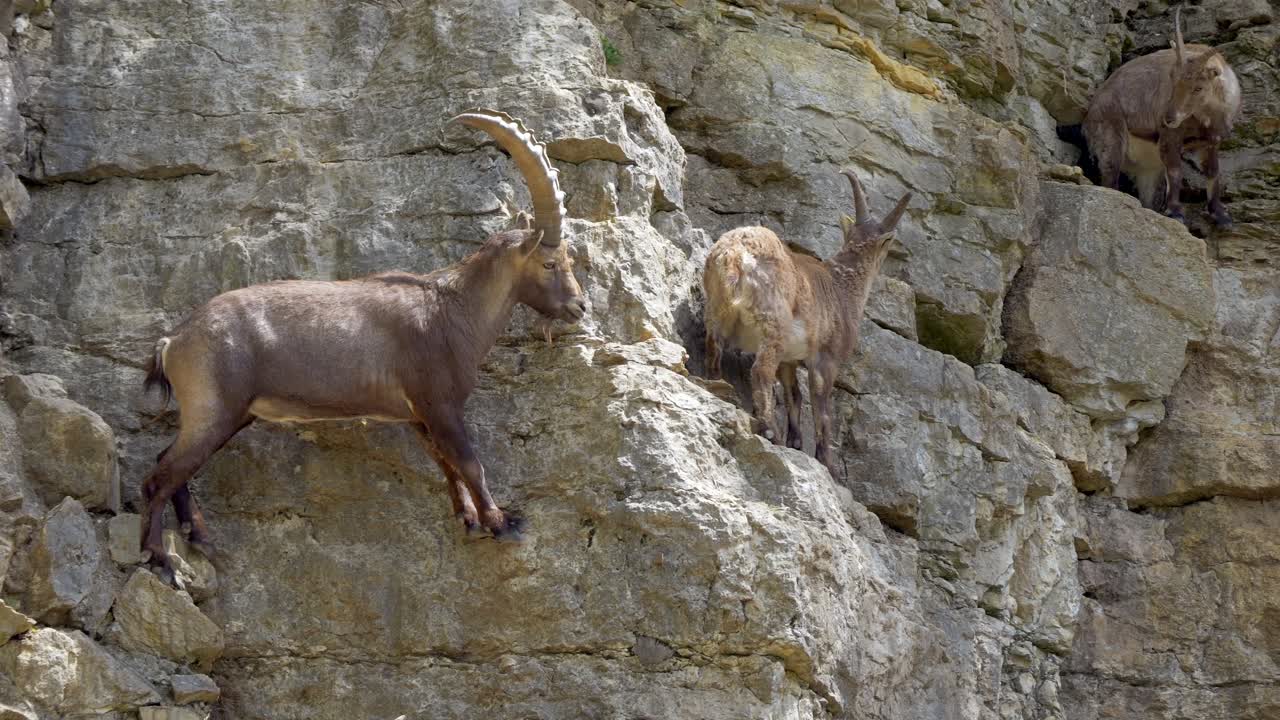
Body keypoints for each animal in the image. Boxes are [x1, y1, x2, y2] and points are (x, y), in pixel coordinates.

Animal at [138, 109, 584, 587]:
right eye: (550, 263)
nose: (580, 306)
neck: (453, 310)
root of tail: (173, 340)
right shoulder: (439, 403)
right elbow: (469, 463)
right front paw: (501, 524)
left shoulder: (418, 415)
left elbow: (446, 463)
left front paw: (468, 519)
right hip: (215, 408)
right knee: (158, 477)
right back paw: (160, 558)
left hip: (228, 415)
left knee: (171, 464)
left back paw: (198, 536)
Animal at [703, 171, 910, 474]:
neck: (843, 285)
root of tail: (733, 255)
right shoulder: (826, 358)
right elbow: (822, 408)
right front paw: (828, 465)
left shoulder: (790, 360)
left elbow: (794, 396)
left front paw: (796, 442)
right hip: (773, 323)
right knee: (760, 372)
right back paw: (770, 432)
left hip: (717, 309)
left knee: (713, 349)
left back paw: (718, 387)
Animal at [1084, 6, 1242, 227]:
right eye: (1172, 81)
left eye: (1198, 88)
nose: (1168, 118)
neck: (1206, 117)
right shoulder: (1170, 136)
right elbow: (1175, 170)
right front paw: (1175, 212)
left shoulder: (1212, 140)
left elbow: (1213, 172)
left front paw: (1221, 216)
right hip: (1112, 140)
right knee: (1110, 179)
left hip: (1147, 169)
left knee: (1146, 198)